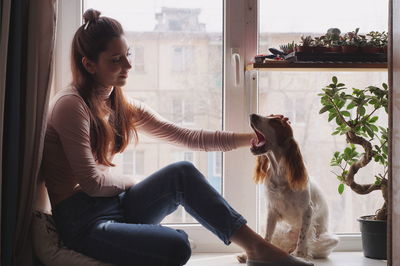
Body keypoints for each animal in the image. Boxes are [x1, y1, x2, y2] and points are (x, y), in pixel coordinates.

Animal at [239, 114, 340, 262]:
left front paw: (299, 255)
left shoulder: (307, 210)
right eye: (270, 116)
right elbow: (267, 237)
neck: (280, 174)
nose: (253, 115)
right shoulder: (271, 210)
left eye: (274, 122)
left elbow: (303, 237)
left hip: (332, 240)